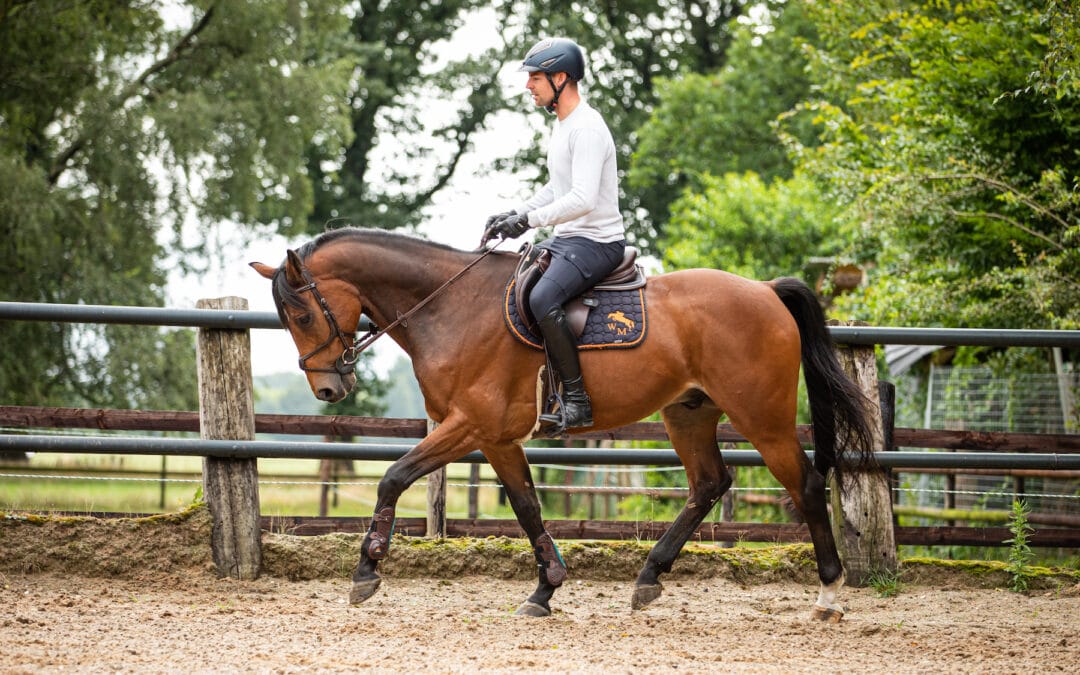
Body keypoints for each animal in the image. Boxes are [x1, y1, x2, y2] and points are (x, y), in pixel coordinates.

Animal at [250, 227, 875, 621]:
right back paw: (649, 578)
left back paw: (829, 592)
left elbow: (393, 478)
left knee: (806, 485)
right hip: (689, 414)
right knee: (708, 484)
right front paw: (545, 591)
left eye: (302, 313)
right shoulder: (496, 438)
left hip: (761, 418)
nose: (328, 389)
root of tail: (766, 291)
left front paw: (366, 569)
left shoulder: (469, 426)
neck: (450, 307)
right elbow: (527, 507)